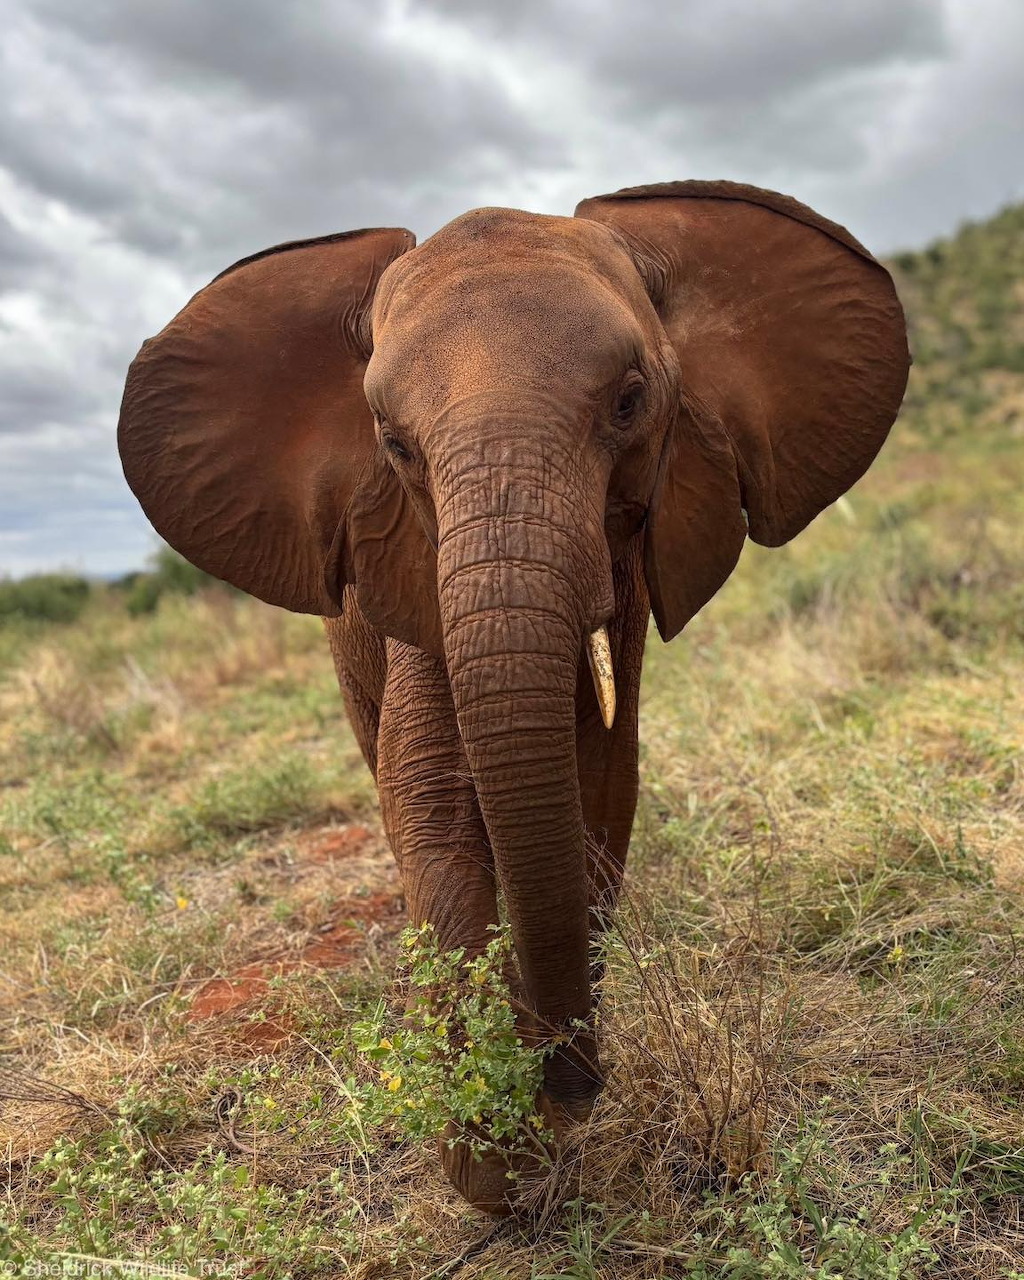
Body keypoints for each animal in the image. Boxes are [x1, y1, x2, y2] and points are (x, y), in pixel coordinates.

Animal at [117, 180, 909, 1212]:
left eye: (630, 401)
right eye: (393, 442)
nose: (577, 1084)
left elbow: (603, 784)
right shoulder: (414, 566)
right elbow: (432, 798)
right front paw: (508, 1146)